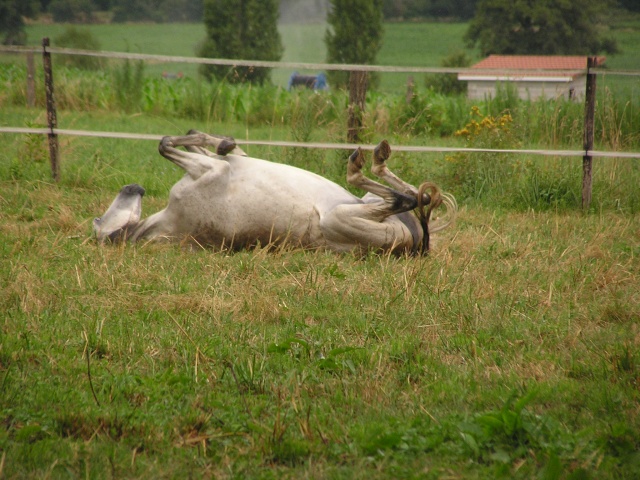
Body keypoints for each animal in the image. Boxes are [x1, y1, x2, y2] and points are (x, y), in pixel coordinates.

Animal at [94, 129, 456, 253]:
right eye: (99, 222)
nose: (132, 187)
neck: (169, 222)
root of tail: (415, 247)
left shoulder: (215, 164)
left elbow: (209, 143)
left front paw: (221, 141)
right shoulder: (210, 170)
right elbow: (165, 144)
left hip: (364, 203)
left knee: (415, 196)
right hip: (341, 218)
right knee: (406, 197)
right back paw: (366, 163)